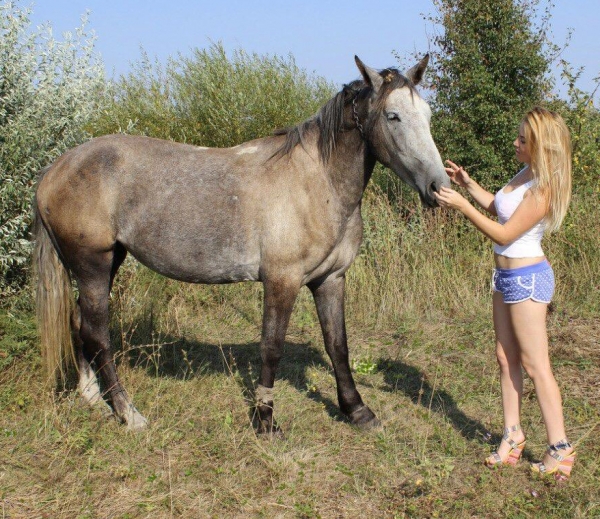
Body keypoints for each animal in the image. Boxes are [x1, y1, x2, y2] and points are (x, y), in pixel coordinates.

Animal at [32, 54, 448, 434]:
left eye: (428, 115)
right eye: (393, 116)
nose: (438, 187)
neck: (318, 182)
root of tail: (56, 169)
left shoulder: (330, 280)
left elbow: (338, 345)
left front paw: (358, 411)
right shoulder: (282, 281)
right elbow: (272, 346)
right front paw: (265, 420)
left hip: (104, 263)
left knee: (78, 323)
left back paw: (92, 398)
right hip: (93, 266)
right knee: (97, 335)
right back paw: (128, 414)